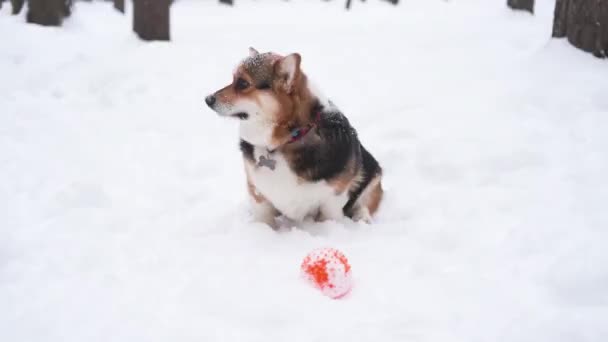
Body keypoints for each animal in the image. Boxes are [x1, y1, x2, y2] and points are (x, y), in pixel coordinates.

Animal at [207, 46, 382, 226]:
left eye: (243, 83)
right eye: (233, 79)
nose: (207, 99)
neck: (285, 140)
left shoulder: (332, 199)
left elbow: (329, 217)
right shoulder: (257, 194)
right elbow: (264, 221)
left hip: (374, 174)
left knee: (365, 203)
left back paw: (362, 217)